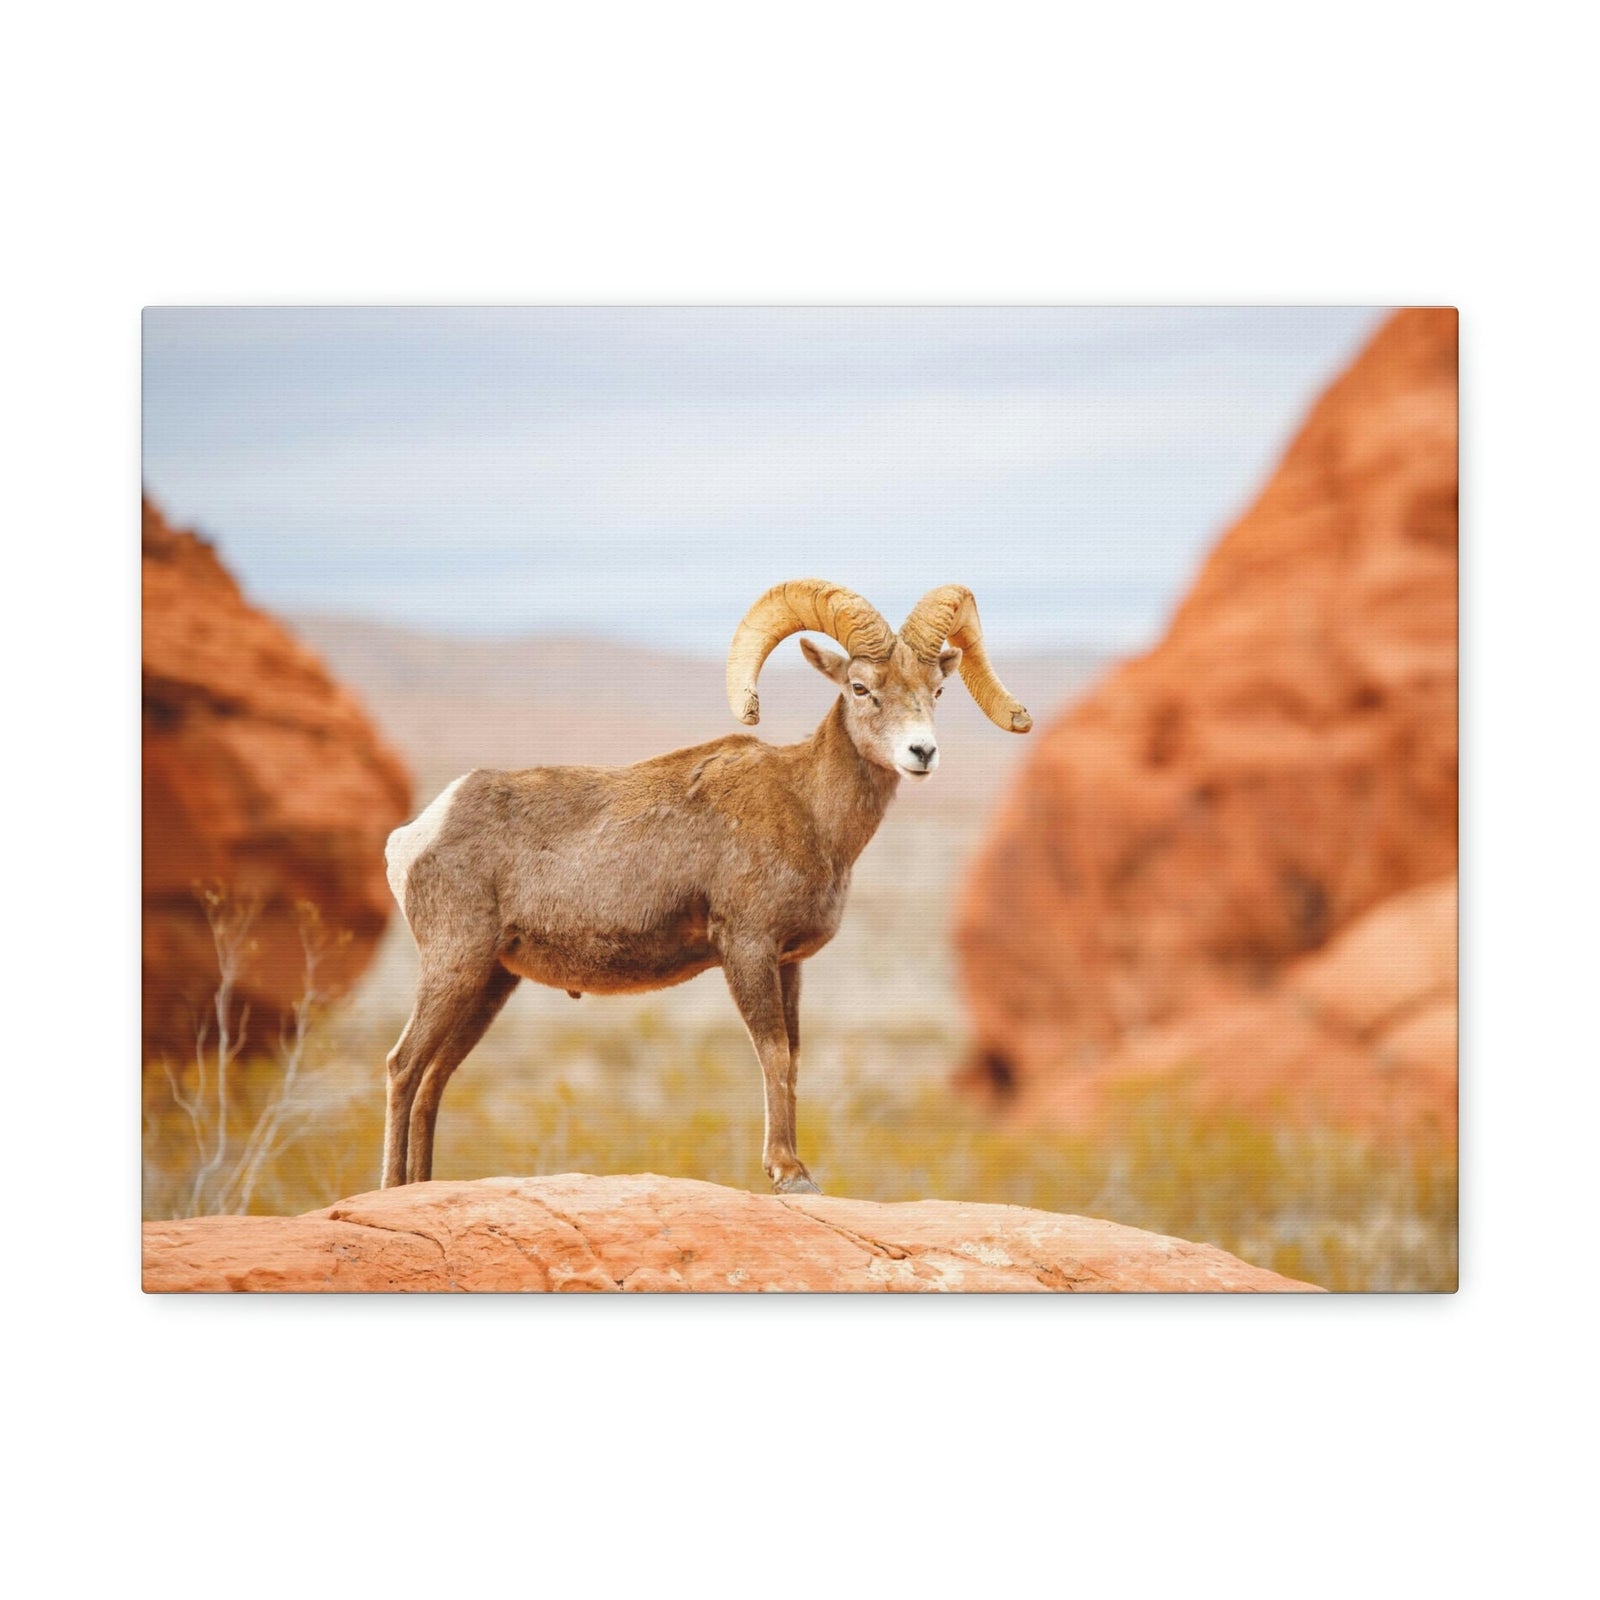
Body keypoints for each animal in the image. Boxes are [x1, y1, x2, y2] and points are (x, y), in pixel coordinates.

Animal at [380, 580, 1032, 1193]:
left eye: (937, 691)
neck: (810, 810)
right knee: (404, 1066)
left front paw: (796, 1169)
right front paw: (789, 1173)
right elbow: (772, 1052)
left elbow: (793, 1056)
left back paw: (422, 1186)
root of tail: (417, 834)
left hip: (491, 982)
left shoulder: (788, 962)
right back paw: (391, 1186)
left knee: (435, 1076)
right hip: (455, 965)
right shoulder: (746, 948)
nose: (922, 752)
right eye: (860, 688)